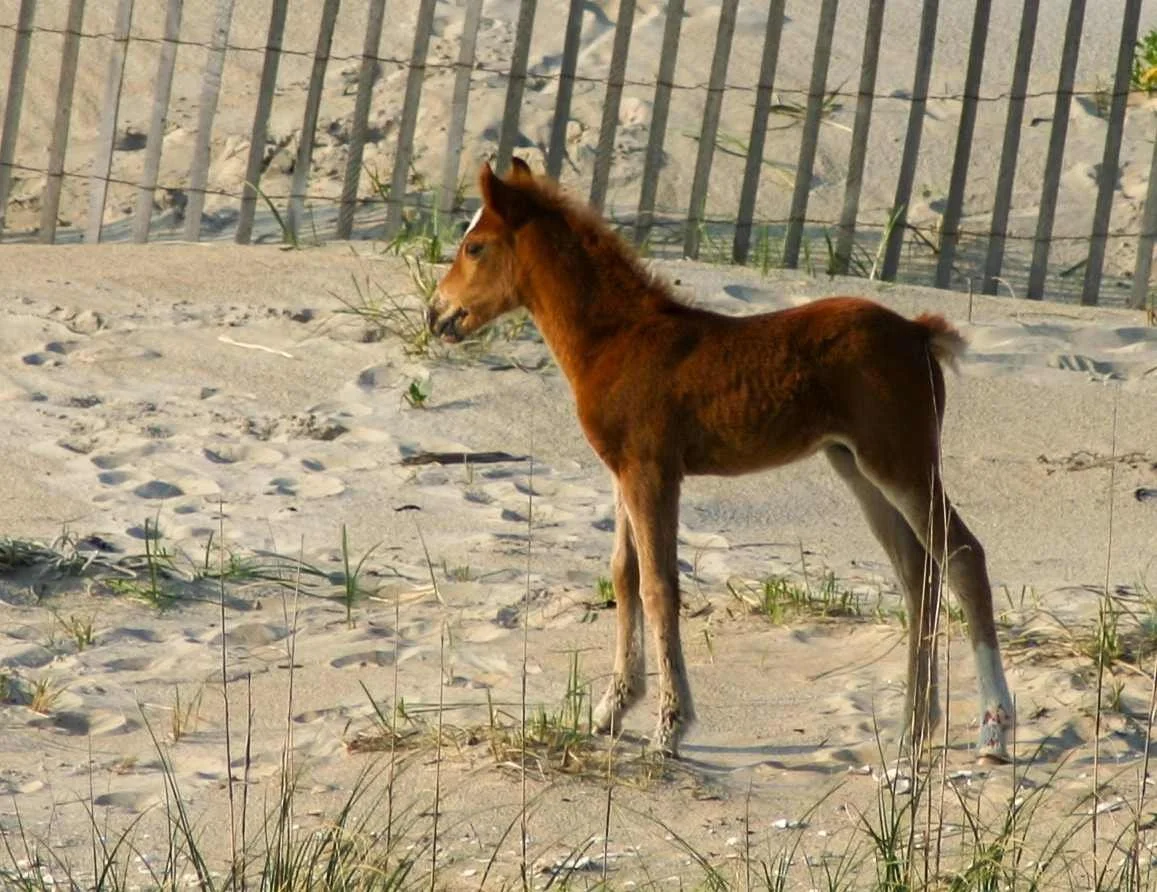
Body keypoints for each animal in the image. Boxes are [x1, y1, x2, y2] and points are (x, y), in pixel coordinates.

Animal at [429, 158, 1014, 764]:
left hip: (901, 460)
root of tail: (919, 333)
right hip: (855, 466)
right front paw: (612, 708)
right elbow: (623, 573)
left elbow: (659, 586)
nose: (436, 313)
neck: (614, 340)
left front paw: (669, 728)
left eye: (474, 247)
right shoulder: (622, 471)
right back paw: (912, 731)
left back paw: (993, 730)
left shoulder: (653, 471)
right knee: (918, 571)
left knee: (963, 556)